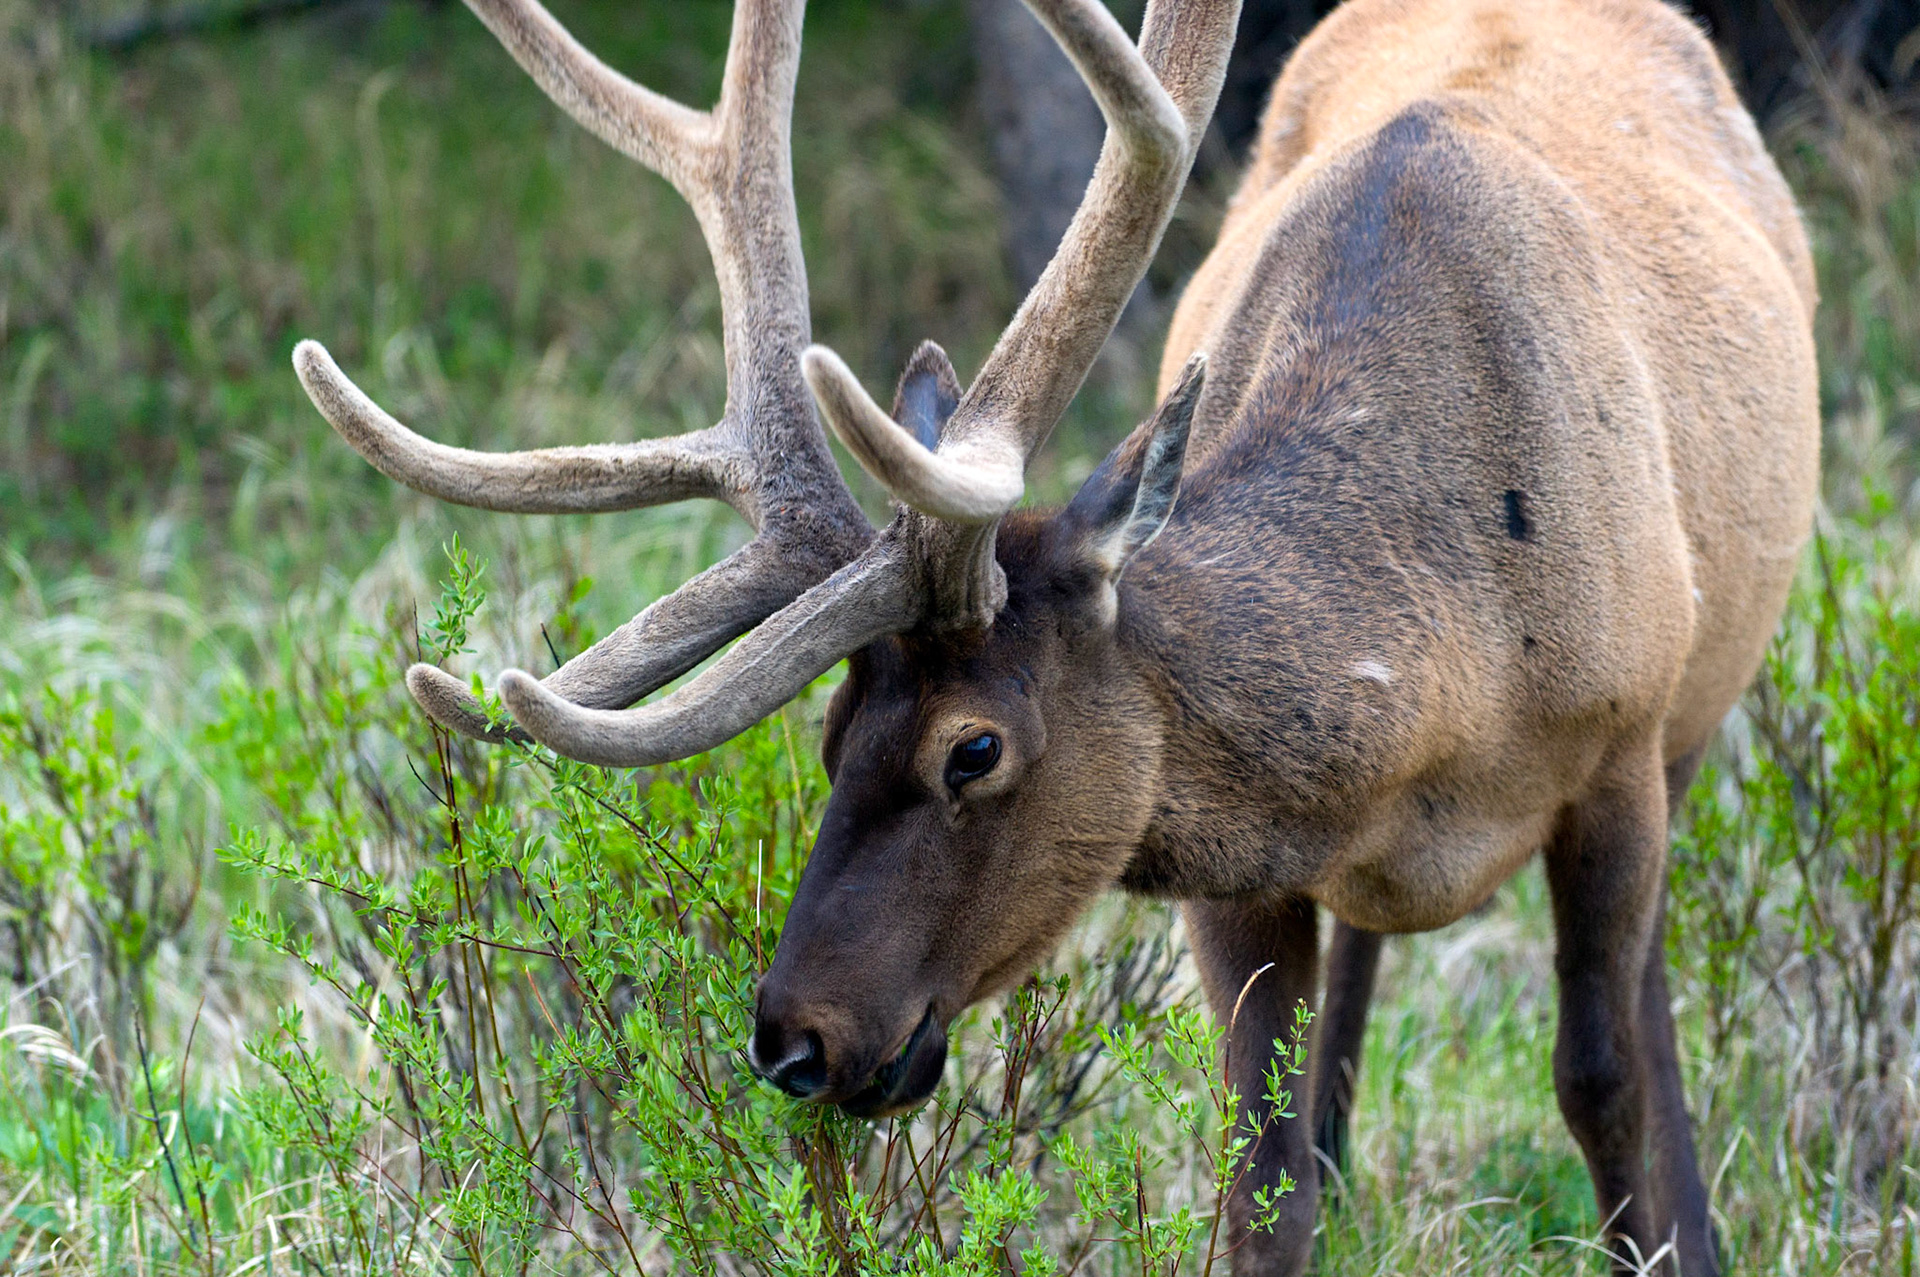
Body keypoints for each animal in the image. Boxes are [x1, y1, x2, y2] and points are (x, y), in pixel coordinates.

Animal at [289, 0, 1819, 1271]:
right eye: (830, 733)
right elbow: (1264, 1173)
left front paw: (1671, 1234)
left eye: (974, 749)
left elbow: (1603, 1083)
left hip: (1698, 709)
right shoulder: (1242, 865)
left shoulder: (1621, 748)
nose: (791, 1038)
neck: (1448, 690)